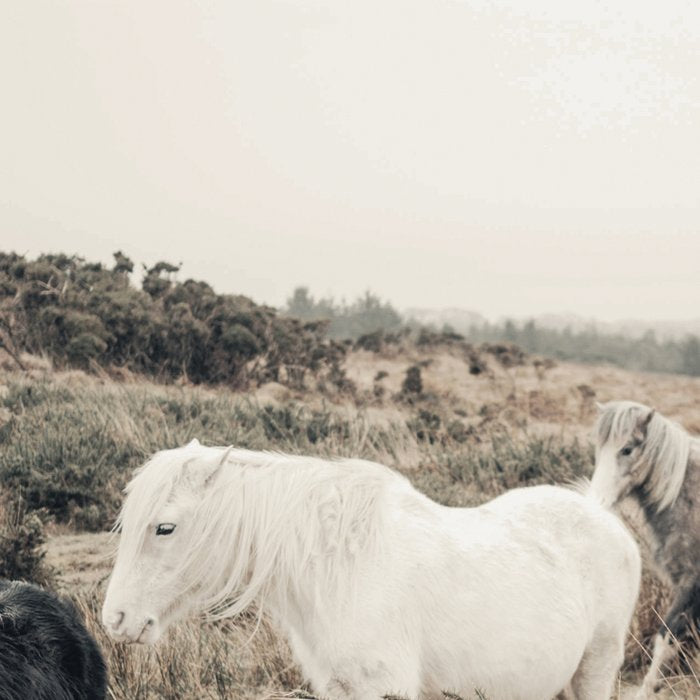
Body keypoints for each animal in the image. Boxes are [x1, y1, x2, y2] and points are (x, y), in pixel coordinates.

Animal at [588, 400, 700, 699]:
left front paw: (647, 690)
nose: (594, 502)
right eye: (598, 448)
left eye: (627, 449)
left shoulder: (690, 584)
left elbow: (666, 638)